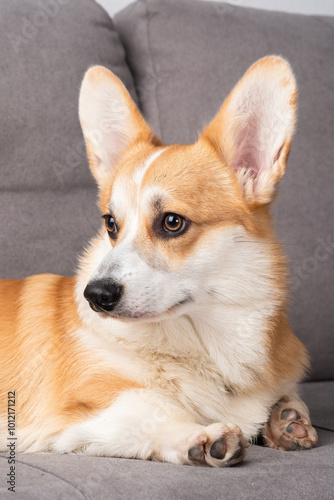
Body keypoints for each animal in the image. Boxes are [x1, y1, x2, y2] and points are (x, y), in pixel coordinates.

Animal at [0, 56, 318, 466]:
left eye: (172, 222)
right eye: (111, 224)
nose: (95, 295)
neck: (206, 341)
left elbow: (289, 397)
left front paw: (285, 418)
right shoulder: (82, 407)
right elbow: (152, 406)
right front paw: (202, 435)